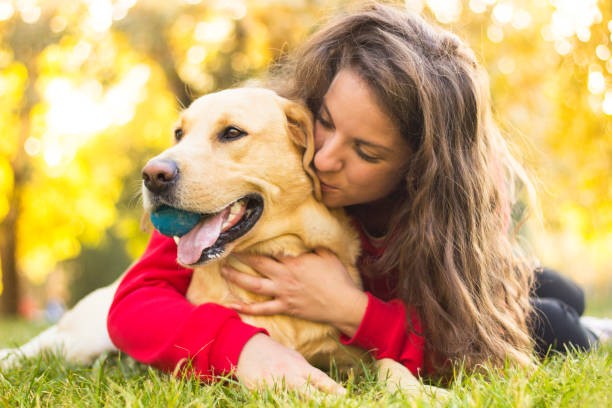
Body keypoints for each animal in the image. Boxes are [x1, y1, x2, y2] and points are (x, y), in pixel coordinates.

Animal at [0, 87, 440, 396]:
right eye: (179, 133)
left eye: (232, 133)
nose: (152, 174)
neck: (278, 252)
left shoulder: (352, 353)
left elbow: (389, 363)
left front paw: (422, 391)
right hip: (86, 334)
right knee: (42, 346)